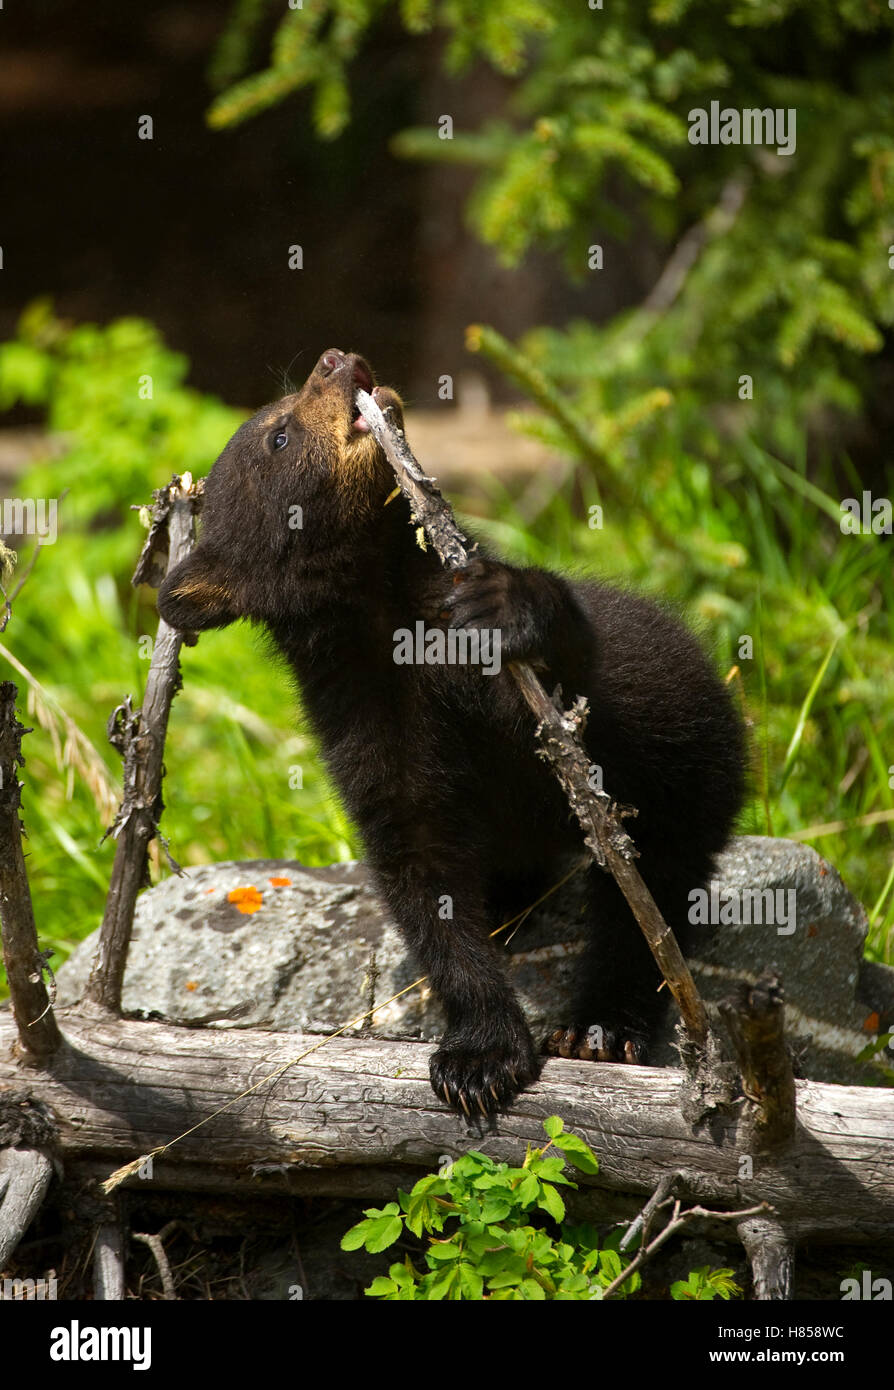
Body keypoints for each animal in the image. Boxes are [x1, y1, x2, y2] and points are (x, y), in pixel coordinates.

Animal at [158, 347, 746, 1118]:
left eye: (281, 414)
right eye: (279, 434)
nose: (336, 358)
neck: (388, 609)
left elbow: (573, 685)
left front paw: (511, 604)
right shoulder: (365, 722)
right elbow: (421, 872)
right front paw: (479, 1056)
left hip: (695, 770)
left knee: (650, 895)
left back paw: (599, 1026)